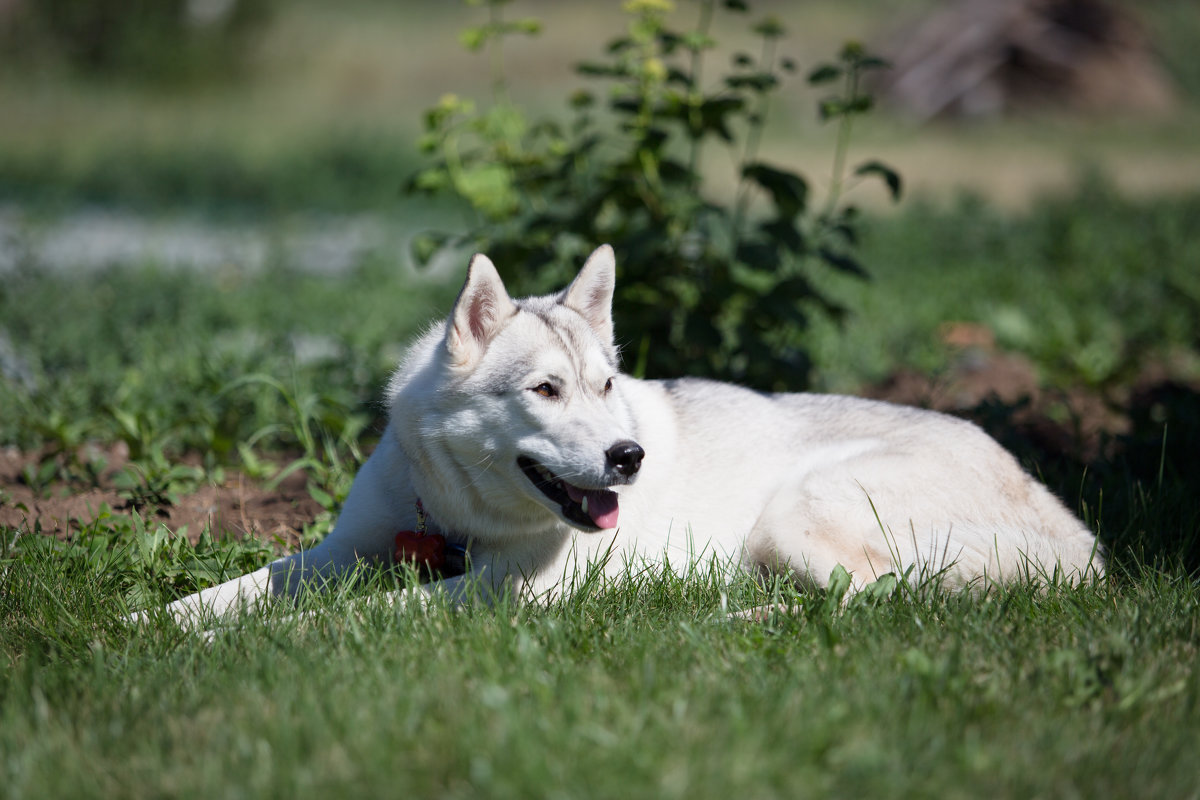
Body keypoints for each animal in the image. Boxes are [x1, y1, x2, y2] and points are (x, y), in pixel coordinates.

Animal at [157, 244, 1104, 623]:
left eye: (606, 385)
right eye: (545, 389)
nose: (629, 456)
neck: (460, 525)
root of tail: (1077, 530)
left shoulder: (501, 593)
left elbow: (349, 615)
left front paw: (255, 640)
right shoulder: (337, 551)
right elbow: (232, 593)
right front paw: (149, 630)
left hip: (800, 509)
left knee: (879, 599)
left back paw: (733, 615)